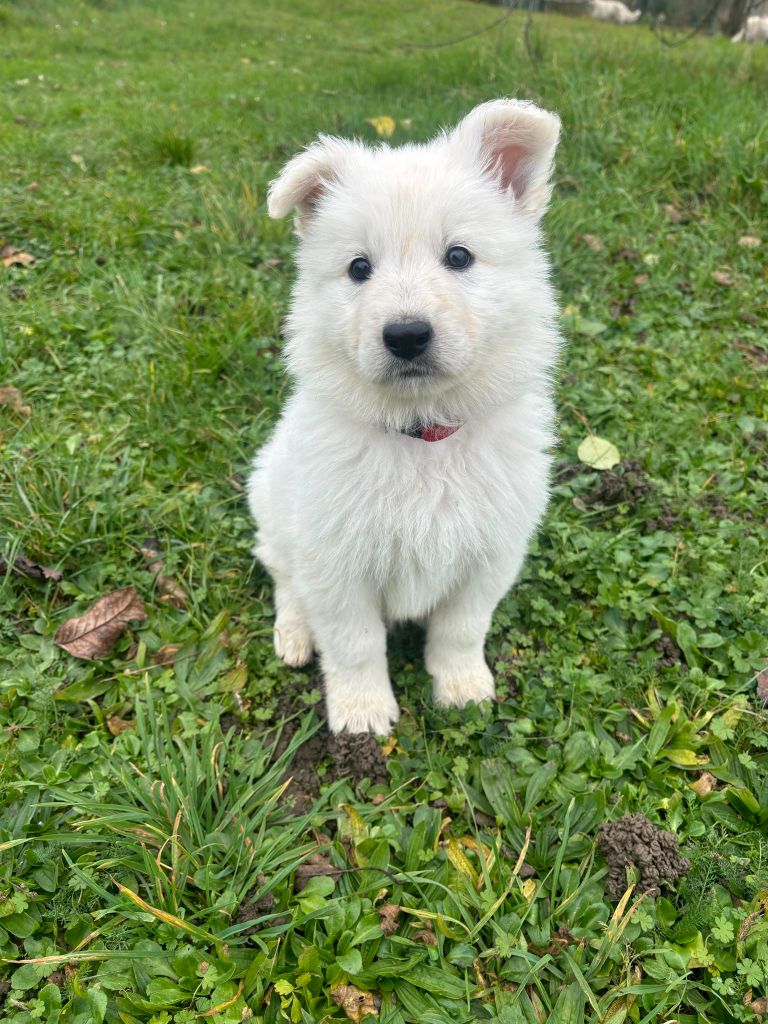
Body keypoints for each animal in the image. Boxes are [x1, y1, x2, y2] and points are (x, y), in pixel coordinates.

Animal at [249, 99, 561, 733]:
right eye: (358, 268)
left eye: (459, 256)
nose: (407, 335)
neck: (423, 435)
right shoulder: (335, 562)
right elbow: (354, 644)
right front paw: (363, 714)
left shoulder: (490, 554)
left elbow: (462, 628)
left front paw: (463, 688)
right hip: (272, 499)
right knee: (282, 574)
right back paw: (294, 633)